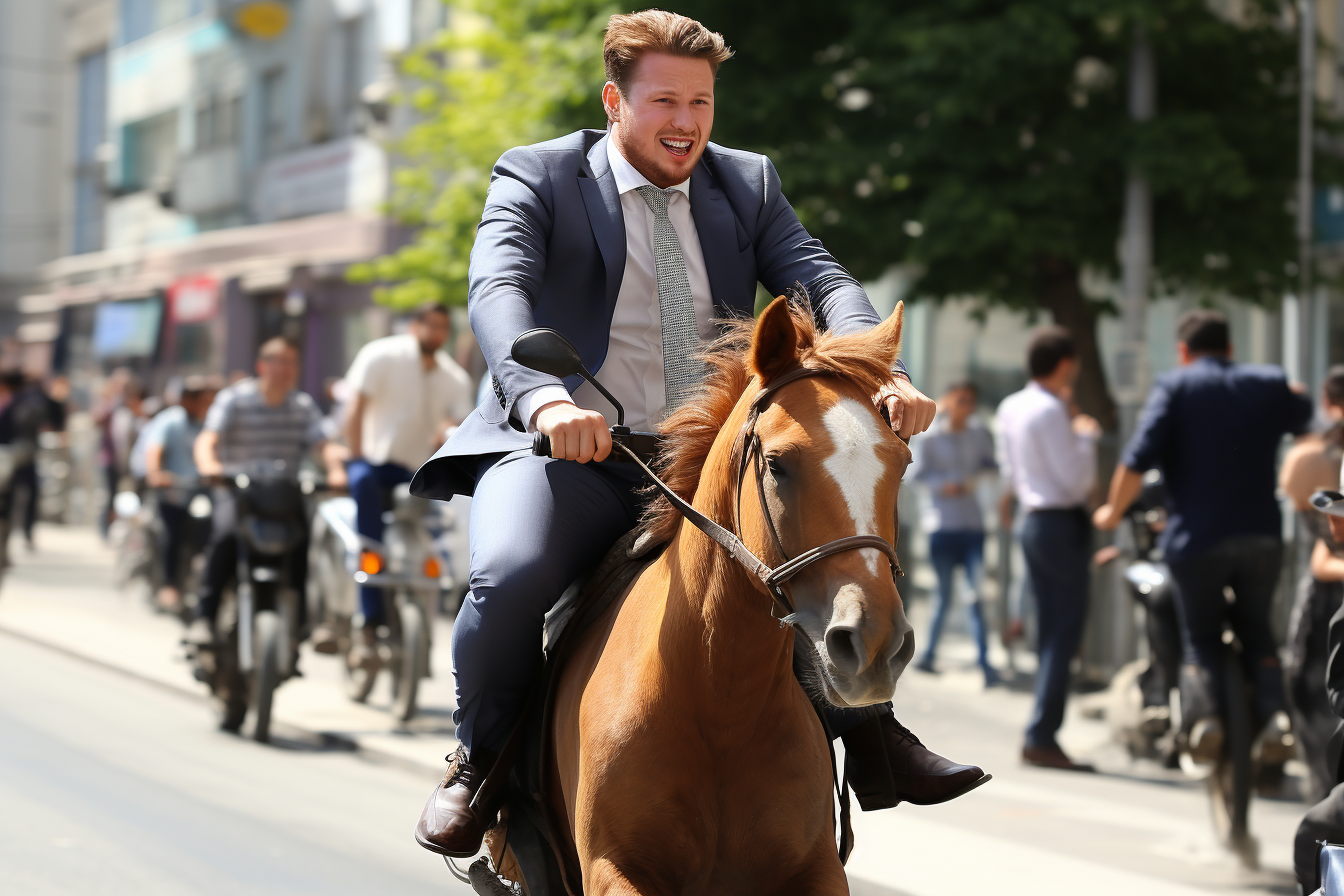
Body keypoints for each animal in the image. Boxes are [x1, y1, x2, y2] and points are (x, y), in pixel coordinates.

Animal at [540, 298, 908, 891]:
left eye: (902, 464)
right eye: (777, 465)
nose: (873, 642)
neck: (721, 696)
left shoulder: (817, 867)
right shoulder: (610, 867)